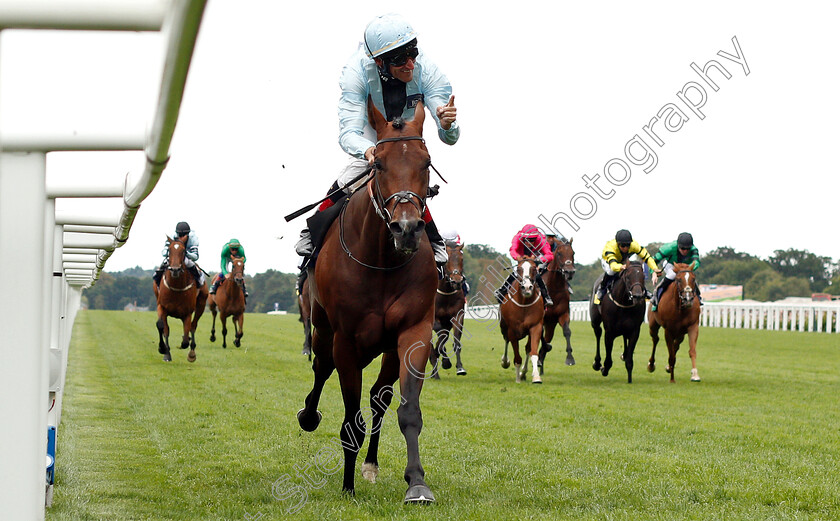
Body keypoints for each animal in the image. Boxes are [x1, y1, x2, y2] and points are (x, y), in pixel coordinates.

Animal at [296, 99, 440, 502]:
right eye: (379, 164)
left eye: (425, 161)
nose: (406, 228)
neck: (382, 261)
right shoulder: (345, 339)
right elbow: (350, 420)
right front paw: (347, 487)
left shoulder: (414, 331)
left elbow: (407, 411)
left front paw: (417, 482)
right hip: (322, 328)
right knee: (321, 368)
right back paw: (309, 416)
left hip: (388, 348)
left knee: (378, 397)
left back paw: (371, 464)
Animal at [540, 236, 576, 370]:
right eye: (559, 253)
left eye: (573, 253)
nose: (569, 272)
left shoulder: (562, 314)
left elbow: (567, 331)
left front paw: (570, 358)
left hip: (551, 324)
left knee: (547, 337)